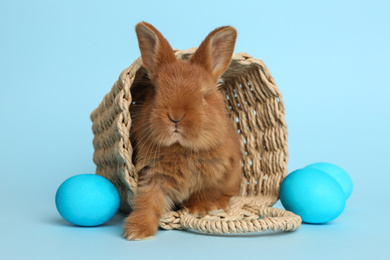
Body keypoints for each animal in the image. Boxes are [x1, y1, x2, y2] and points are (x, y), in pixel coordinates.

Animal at [124, 21, 241, 240]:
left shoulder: (218, 174)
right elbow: (148, 200)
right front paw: (136, 230)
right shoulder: (154, 175)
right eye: (156, 91)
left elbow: (206, 193)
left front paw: (200, 209)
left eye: (204, 95)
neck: (181, 147)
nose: (175, 117)